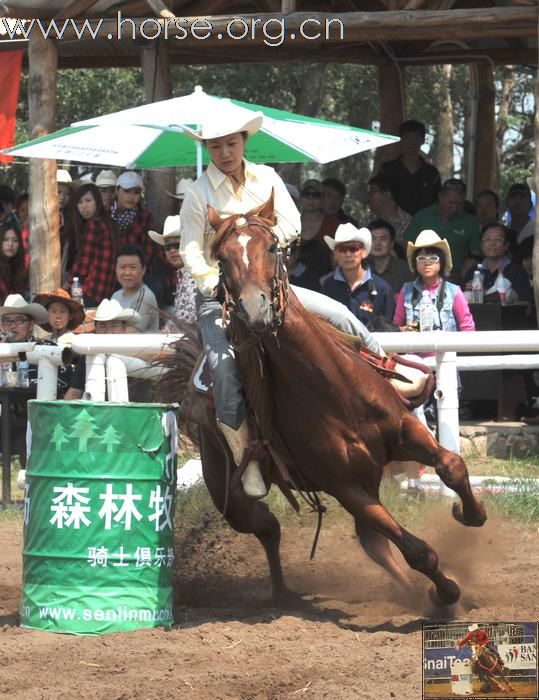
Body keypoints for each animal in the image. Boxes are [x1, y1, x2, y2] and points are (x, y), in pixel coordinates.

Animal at [175, 194, 488, 604]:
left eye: (272, 247)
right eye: (222, 259)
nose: (256, 309)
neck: (334, 393)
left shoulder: (404, 431)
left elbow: (452, 465)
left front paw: (471, 514)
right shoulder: (344, 486)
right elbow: (417, 550)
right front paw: (446, 594)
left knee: (370, 543)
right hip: (231, 496)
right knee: (270, 529)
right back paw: (283, 594)